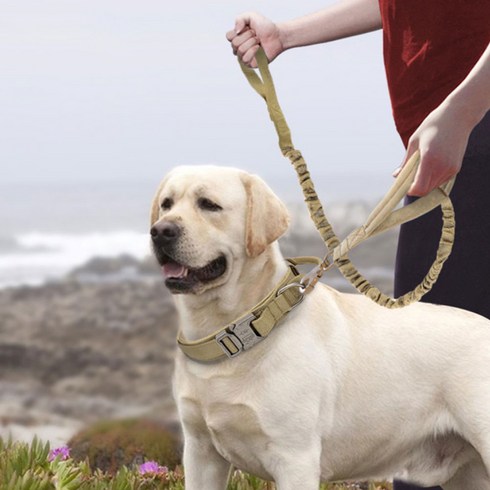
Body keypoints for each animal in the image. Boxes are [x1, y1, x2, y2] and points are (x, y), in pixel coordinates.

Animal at [149, 166, 490, 490]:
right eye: (166, 204)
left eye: (209, 204)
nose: (160, 231)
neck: (239, 330)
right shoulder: (201, 452)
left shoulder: (295, 458)